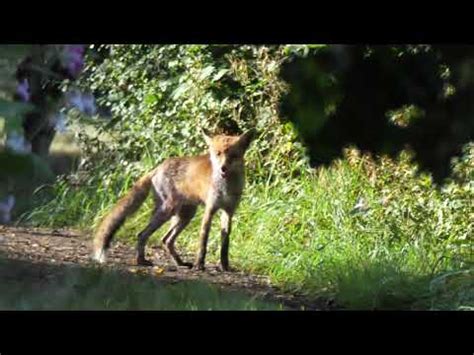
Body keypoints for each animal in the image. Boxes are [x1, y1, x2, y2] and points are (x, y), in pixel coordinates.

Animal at [93, 129, 256, 272]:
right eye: (218, 154)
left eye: (233, 155)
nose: (223, 168)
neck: (226, 187)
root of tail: (157, 167)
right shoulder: (209, 210)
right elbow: (203, 241)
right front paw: (199, 265)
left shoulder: (228, 212)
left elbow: (225, 243)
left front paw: (225, 266)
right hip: (169, 210)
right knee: (142, 234)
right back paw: (141, 261)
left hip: (185, 215)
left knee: (166, 240)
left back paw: (180, 263)